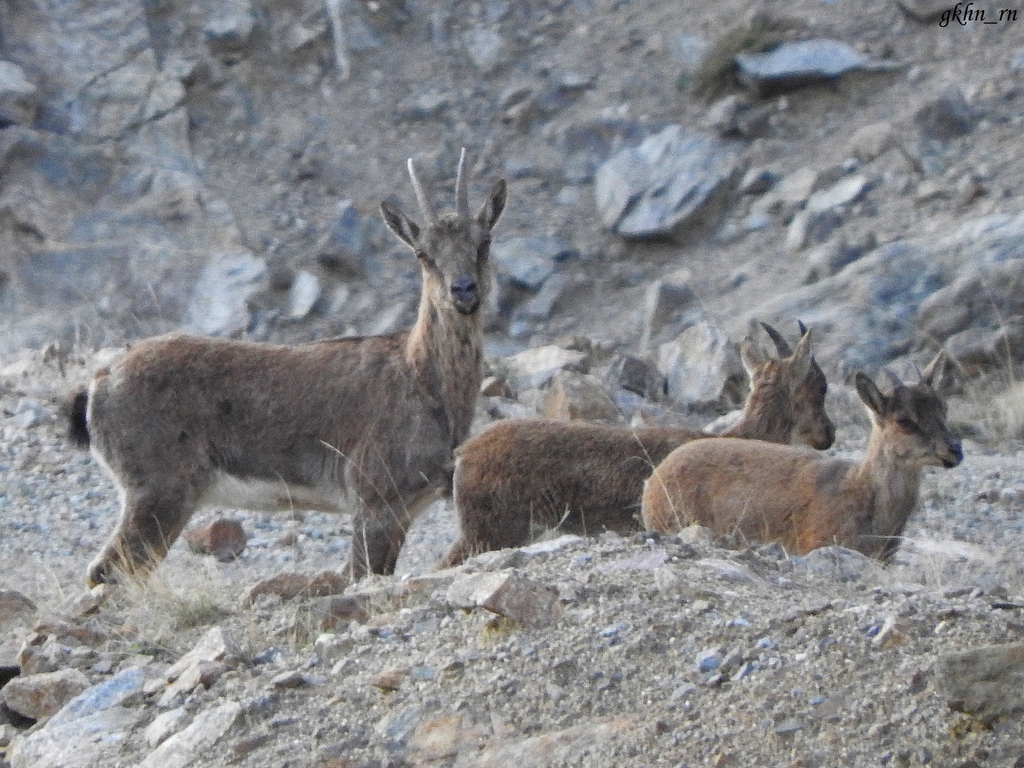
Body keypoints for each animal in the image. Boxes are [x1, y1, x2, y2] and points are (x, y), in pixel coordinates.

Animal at [69, 149, 507, 586]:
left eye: (484, 242)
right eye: (423, 253)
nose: (463, 291)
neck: (424, 380)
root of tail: (99, 384)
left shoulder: (403, 512)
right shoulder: (373, 500)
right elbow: (357, 573)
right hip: (159, 491)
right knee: (104, 571)